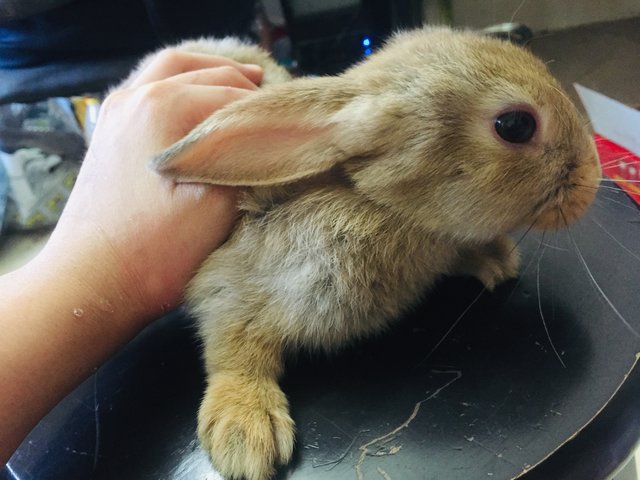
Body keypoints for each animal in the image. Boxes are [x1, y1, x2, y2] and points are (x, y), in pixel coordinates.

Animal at [149, 27, 600, 480]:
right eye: (516, 125)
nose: (593, 176)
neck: (380, 205)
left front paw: (496, 260)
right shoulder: (228, 287)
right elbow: (233, 352)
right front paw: (244, 433)